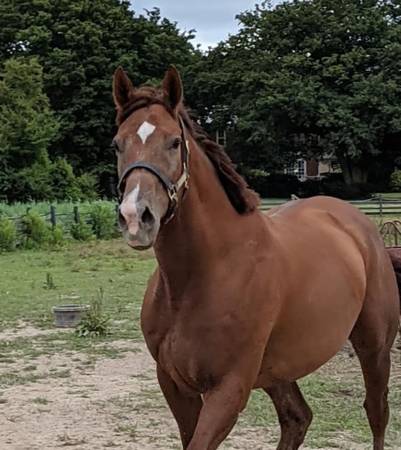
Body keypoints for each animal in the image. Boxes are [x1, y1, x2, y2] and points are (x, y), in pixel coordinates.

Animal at [112, 66, 401, 450]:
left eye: (174, 142)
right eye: (117, 144)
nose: (135, 217)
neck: (204, 274)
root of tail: (357, 222)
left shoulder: (228, 390)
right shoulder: (175, 385)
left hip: (374, 347)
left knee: (376, 412)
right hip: (278, 369)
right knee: (298, 418)